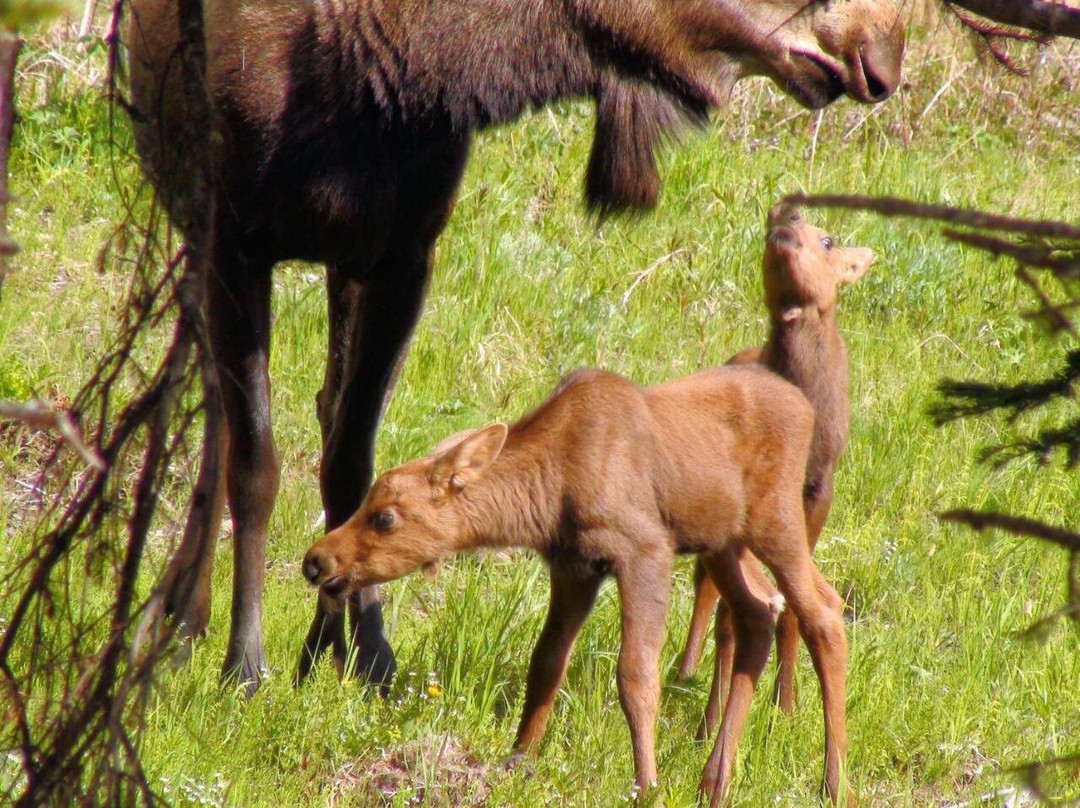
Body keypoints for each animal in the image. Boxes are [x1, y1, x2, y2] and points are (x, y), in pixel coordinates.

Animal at [302, 359, 852, 805]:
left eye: (385, 518)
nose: (316, 561)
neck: (548, 495)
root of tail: (806, 407)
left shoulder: (644, 550)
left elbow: (636, 675)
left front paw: (646, 784)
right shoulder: (574, 569)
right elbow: (545, 664)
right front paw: (518, 757)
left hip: (775, 520)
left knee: (823, 612)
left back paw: (833, 784)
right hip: (723, 542)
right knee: (759, 611)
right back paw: (714, 782)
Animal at [675, 203, 873, 740]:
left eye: (828, 240)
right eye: (767, 231)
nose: (787, 217)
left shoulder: (817, 490)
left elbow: (791, 612)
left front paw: (785, 705)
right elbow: (734, 612)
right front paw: (711, 721)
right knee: (707, 591)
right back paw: (687, 670)